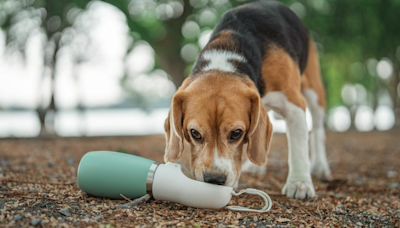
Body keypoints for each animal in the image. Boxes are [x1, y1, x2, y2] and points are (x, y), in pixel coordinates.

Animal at [162, 0, 332, 200]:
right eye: (195, 133)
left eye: (236, 133)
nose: (214, 180)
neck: (227, 58)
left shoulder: (294, 105)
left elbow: (298, 150)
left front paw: (300, 184)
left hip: (314, 93)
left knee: (318, 130)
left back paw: (320, 166)